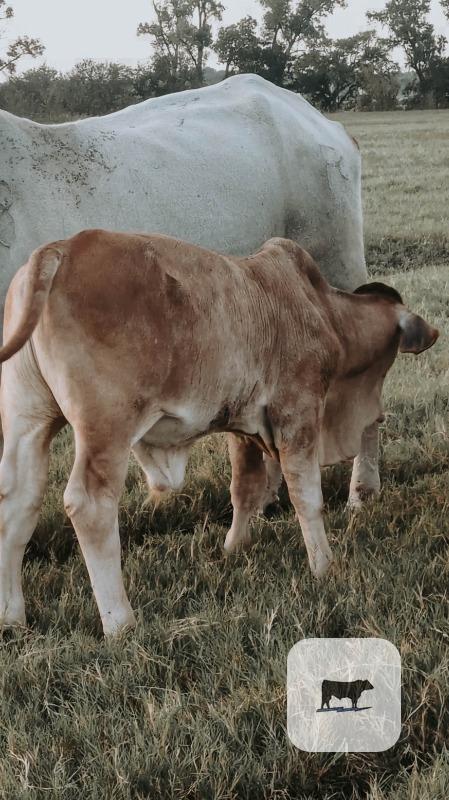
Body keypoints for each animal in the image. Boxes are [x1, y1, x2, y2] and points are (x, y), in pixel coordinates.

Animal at [0, 230, 439, 634]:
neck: (325, 310)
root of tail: (57, 250)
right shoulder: (297, 411)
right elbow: (306, 497)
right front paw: (323, 566)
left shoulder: (243, 427)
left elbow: (244, 489)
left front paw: (233, 547)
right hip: (106, 427)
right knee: (88, 505)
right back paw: (120, 623)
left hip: (29, 419)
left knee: (18, 501)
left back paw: (11, 618)